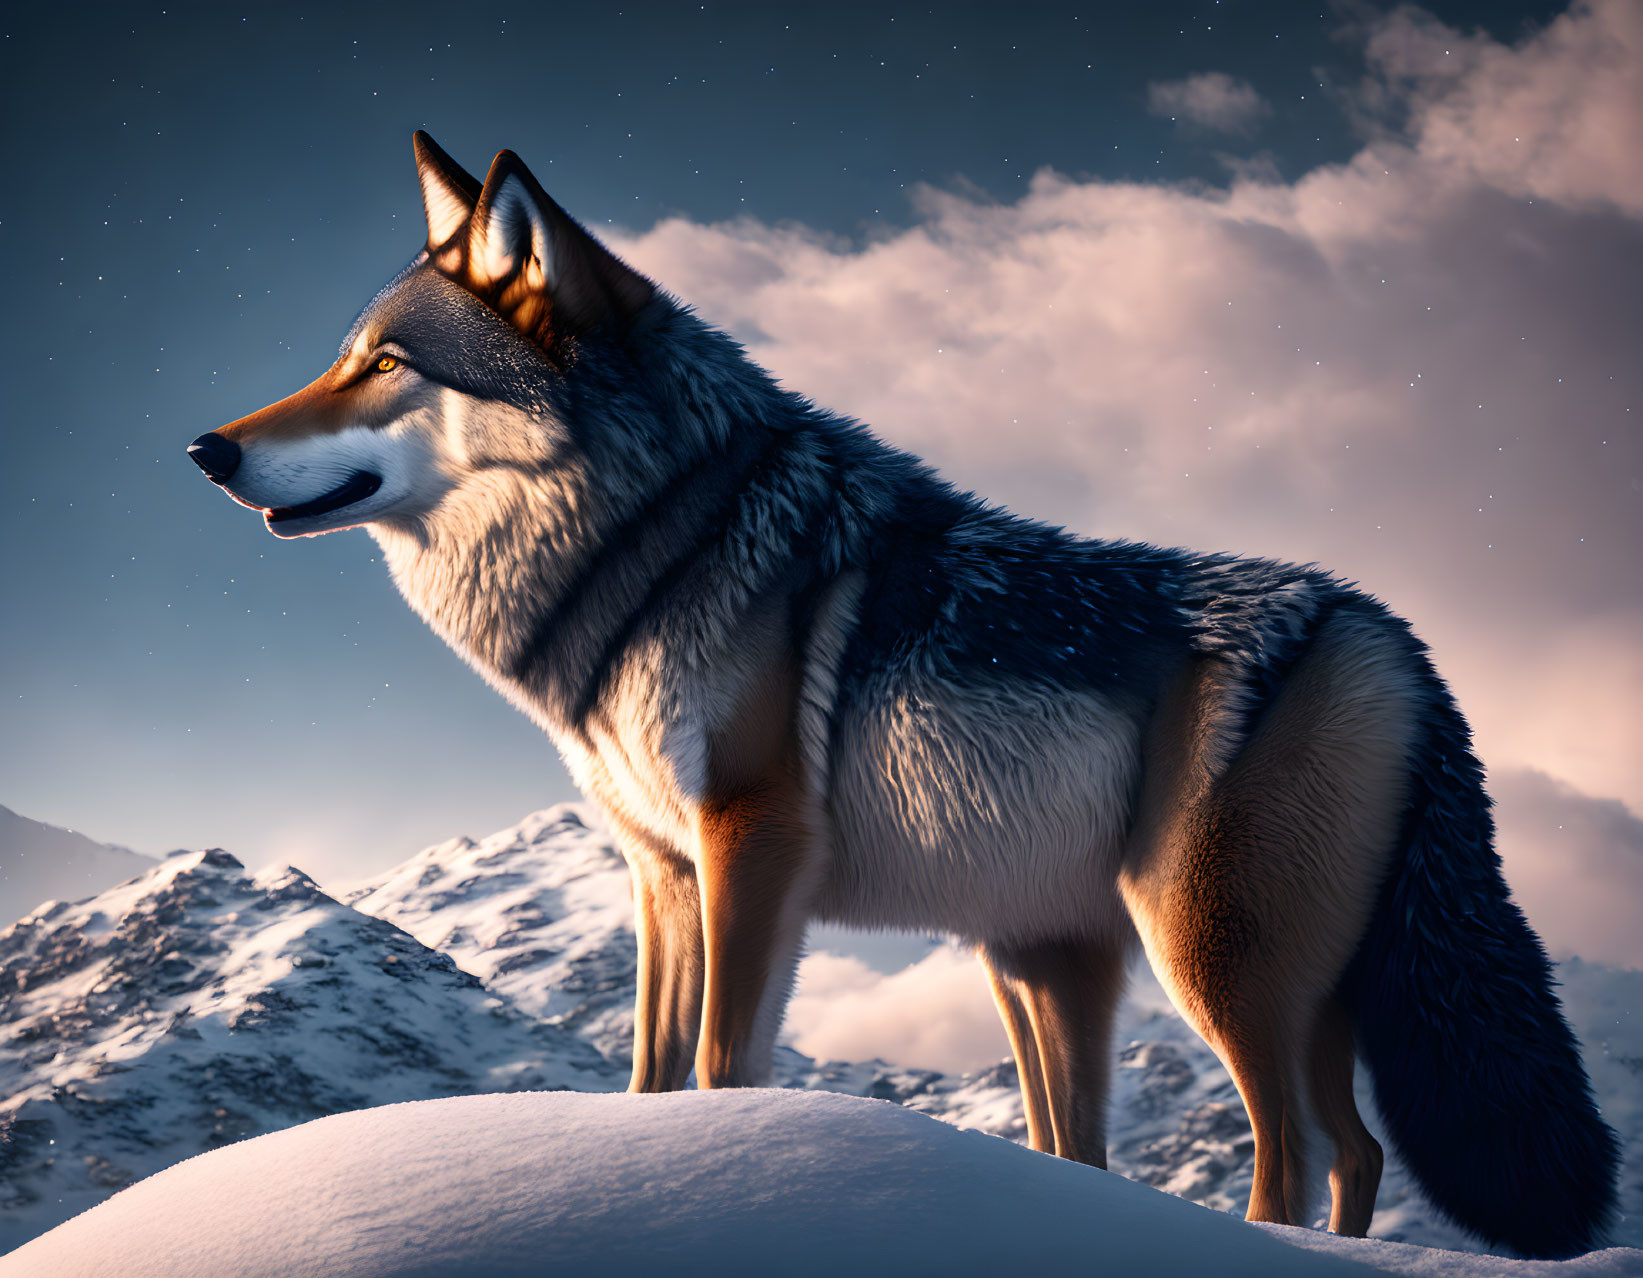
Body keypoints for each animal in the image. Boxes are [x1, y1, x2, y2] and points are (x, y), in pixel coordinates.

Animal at [183, 132, 1616, 1255]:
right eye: (344, 358)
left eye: (384, 366)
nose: (206, 448)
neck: (659, 541)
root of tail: (1386, 630)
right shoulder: (662, 873)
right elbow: (650, 1078)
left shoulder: (753, 845)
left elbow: (725, 1066)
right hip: (1111, 964)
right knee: (1343, 1152)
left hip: (1204, 956)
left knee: (1296, 1155)